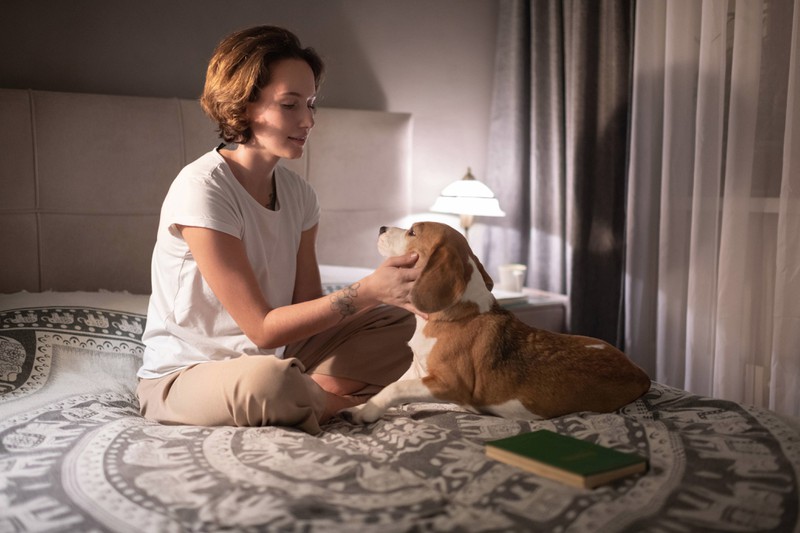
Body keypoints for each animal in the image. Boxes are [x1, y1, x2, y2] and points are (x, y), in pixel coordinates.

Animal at [342, 220, 648, 424]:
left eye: (412, 232)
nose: (381, 227)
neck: (451, 315)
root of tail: (641, 374)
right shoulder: (417, 370)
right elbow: (388, 386)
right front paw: (362, 407)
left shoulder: (449, 384)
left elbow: (395, 387)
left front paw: (368, 413)